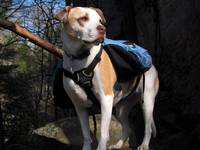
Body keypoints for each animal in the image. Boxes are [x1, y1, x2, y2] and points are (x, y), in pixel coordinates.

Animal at [54, 6, 158, 150]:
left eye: (100, 21)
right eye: (83, 18)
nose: (102, 29)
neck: (79, 59)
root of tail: (151, 63)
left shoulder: (106, 100)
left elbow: (103, 133)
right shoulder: (80, 107)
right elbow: (86, 134)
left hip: (147, 102)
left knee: (147, 127)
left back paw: (144, 144)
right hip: (121, 109)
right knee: (127, 128)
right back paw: (119, 144)